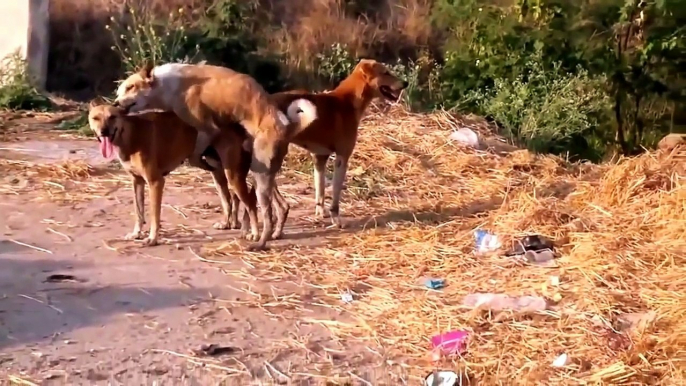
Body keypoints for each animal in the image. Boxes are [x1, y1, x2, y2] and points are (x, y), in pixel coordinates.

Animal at [88, 99, 264, 244]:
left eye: (112, 117)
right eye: (95, 118)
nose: (104, 131)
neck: (130, 134)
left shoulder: (155, 182)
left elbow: (154, 215)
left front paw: (152, 238)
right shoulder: (137, 182)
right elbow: (139, 212)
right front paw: (136, 233)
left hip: (233, 176)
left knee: (250, 204)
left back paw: (254, 233)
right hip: (218, 173)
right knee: (229, 200)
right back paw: (229, 223)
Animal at [111, 63, 318, 250]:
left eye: (130, 87)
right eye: (119, 91)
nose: (115, 104)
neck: (167, 85)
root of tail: (287, 126)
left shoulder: (207, 130)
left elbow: (196, 156)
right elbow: (226, 201)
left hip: (258, 179)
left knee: (262, 213)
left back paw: (258, 240)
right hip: (261, 174)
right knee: (281, 206)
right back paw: (273, 233)